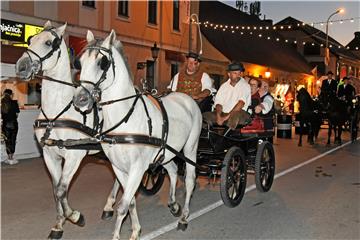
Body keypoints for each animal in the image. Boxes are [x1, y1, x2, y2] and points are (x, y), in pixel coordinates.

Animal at [15, 21, 121, 239]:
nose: (21, 67)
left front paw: (75, 216)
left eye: (49, 42)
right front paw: (58, 224)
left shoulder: (74, 156)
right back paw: (108, 207)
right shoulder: (50, 155)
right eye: (30, 39)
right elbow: (56, 190)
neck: (57, 113)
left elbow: (62, 190)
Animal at [73, 30, 202, 240]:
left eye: (103, 62)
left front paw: (120, 234)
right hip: (166, 152)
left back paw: (184, 217)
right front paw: (135, 231)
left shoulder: (137, 168)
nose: (80, 100)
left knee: (190, 180)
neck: (125, 119)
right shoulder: (118, 167)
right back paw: (173, 204)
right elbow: (131, 200)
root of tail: (187, 98)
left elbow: (123, 206)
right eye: (80, 62)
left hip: (190, 148)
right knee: (173, 170)